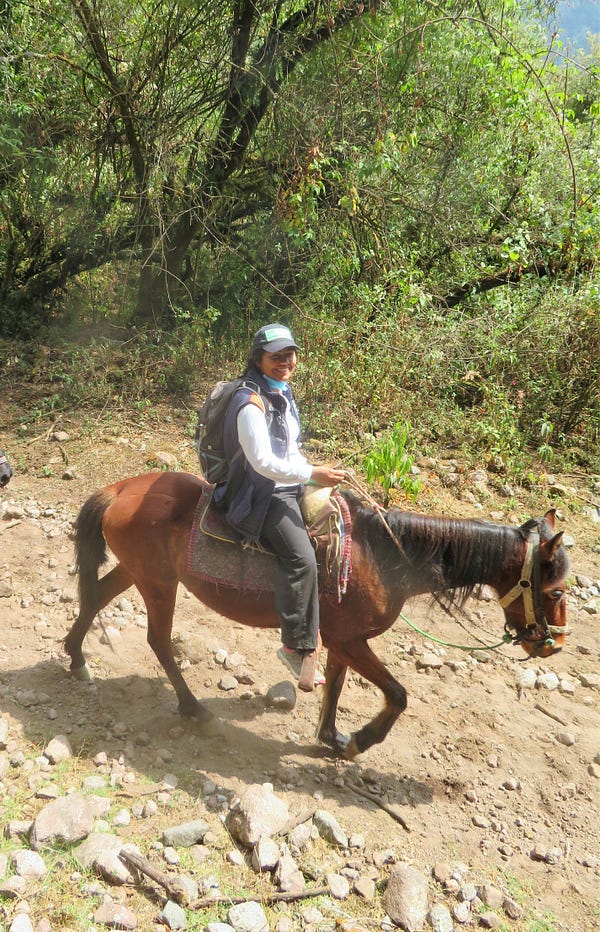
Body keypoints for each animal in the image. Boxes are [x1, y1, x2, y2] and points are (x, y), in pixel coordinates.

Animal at [65, 471, 570, 760]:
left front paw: (332, 737)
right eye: (556, 590)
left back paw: (75, 657)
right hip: (157, 583)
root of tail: (119, 489)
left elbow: (336, 689)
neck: (385, 556)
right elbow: (398, 694)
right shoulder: (350, 640)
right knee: (157, 640)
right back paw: (193, 708)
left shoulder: (342, 639)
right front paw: (359, 742)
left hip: (141, 573)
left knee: (95, 598)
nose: (555, 644)